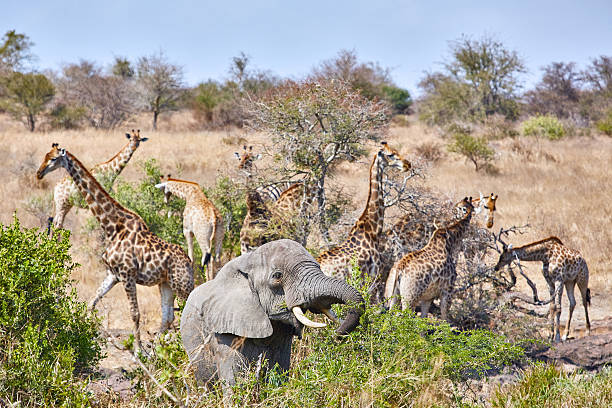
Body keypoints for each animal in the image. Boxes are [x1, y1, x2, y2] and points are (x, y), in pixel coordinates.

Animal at [36, 140, 194, 354]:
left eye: (53, 159)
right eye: (45, 156)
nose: (39, 173)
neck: (111, 226)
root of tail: (190, 263)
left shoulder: (128, 275)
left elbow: (135, 313)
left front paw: (139, 351)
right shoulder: (113, 274)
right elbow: (92, 302)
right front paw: (78, 333)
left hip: (182, 284)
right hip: (167, 284)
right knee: (167, 316)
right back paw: (157, 350)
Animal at [180, 239, 364, 392]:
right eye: (277, 276)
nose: (337, 334)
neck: (248, 260)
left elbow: (280, 371)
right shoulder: (226, 331)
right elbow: (236, 381)